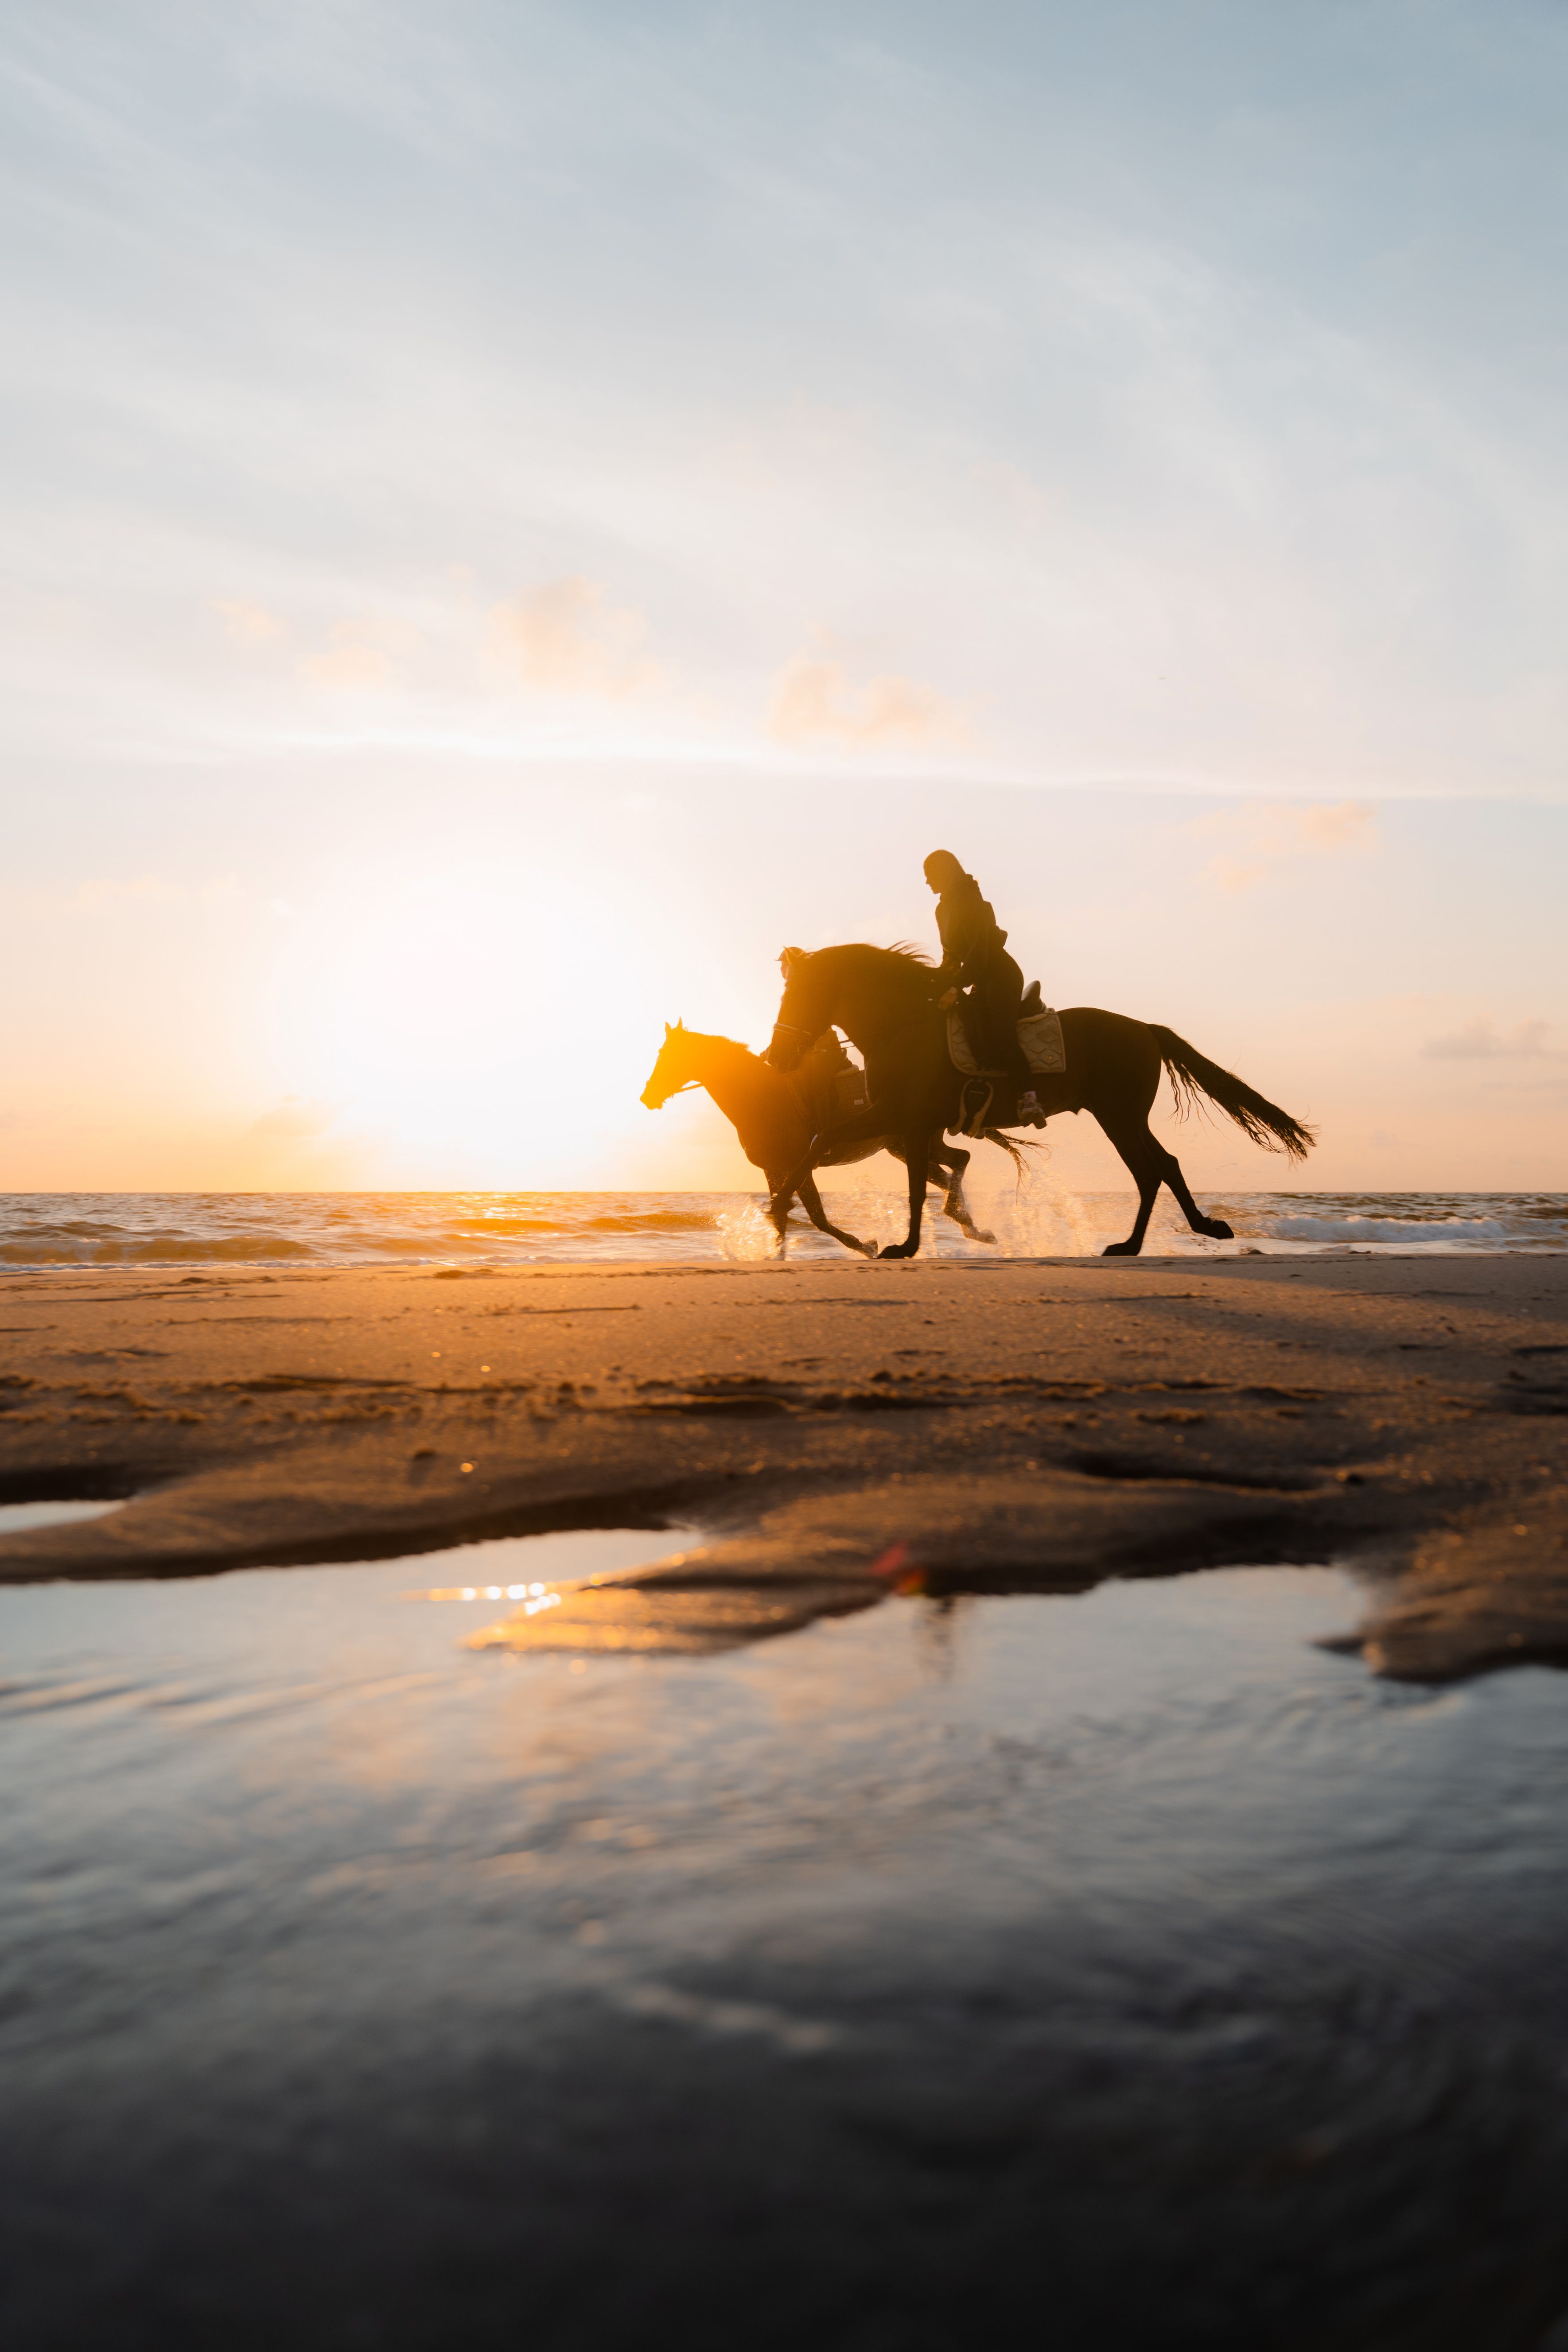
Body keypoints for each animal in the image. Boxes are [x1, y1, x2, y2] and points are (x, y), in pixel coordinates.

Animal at [639, 1021, 1020, 1260]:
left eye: (667, 1056)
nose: (647, 1098)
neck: (761, 1097)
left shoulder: (797, 1167)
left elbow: (816, 1217)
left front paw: (866, 1246)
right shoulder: (774, 1170)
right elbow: (782, 1216)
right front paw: (776, 1255)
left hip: (916, 1143)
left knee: (958, 1161)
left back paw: (964, 1222)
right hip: (906, 1146)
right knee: (951, 1167)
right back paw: (972, 1227)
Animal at [762, 945, 1316, 1260]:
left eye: (800, 995)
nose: (775, 1057)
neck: (901, 1026)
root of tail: (1143, 1028)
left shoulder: (905, 1119)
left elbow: (907, 1184)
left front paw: (902, 1246)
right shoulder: (903, 1122)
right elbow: (828, 1143)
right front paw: (779, 1205)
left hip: (1119, 1115)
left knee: (1154, 1168)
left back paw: (1164, 1236)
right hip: (1121, 1117)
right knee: (1158, 1167)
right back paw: (1147, 1240)